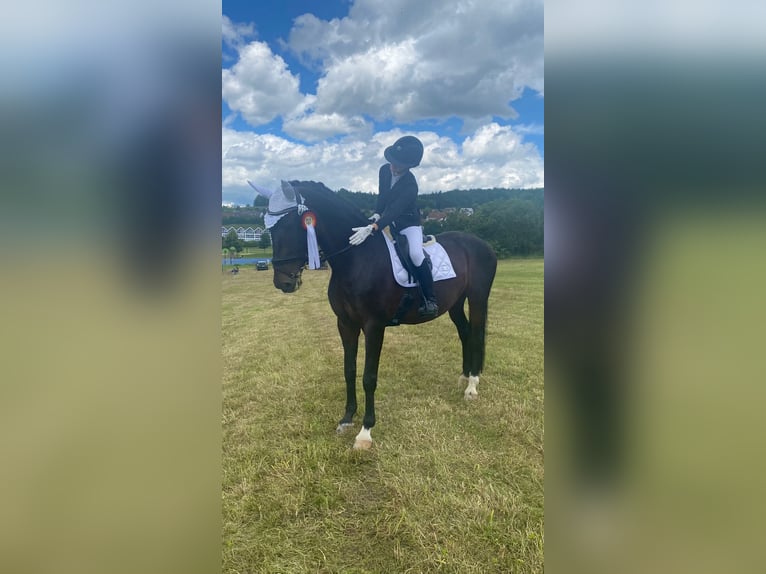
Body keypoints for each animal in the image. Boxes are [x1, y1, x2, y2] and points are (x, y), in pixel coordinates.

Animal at [255, 182, 500, 452]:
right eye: (269, 227)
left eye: (290, 224)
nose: (283, 283)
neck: (357, 259)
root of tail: (482, 244)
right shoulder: (346, 324)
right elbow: (349, 370)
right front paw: (346, 419)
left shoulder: (374, 327)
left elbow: (368, 377)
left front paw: (365, 432)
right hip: (455, 304)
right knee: (465, 333)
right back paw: (464, 377)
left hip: (477, 299)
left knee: (476, 334)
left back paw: (472, 387)